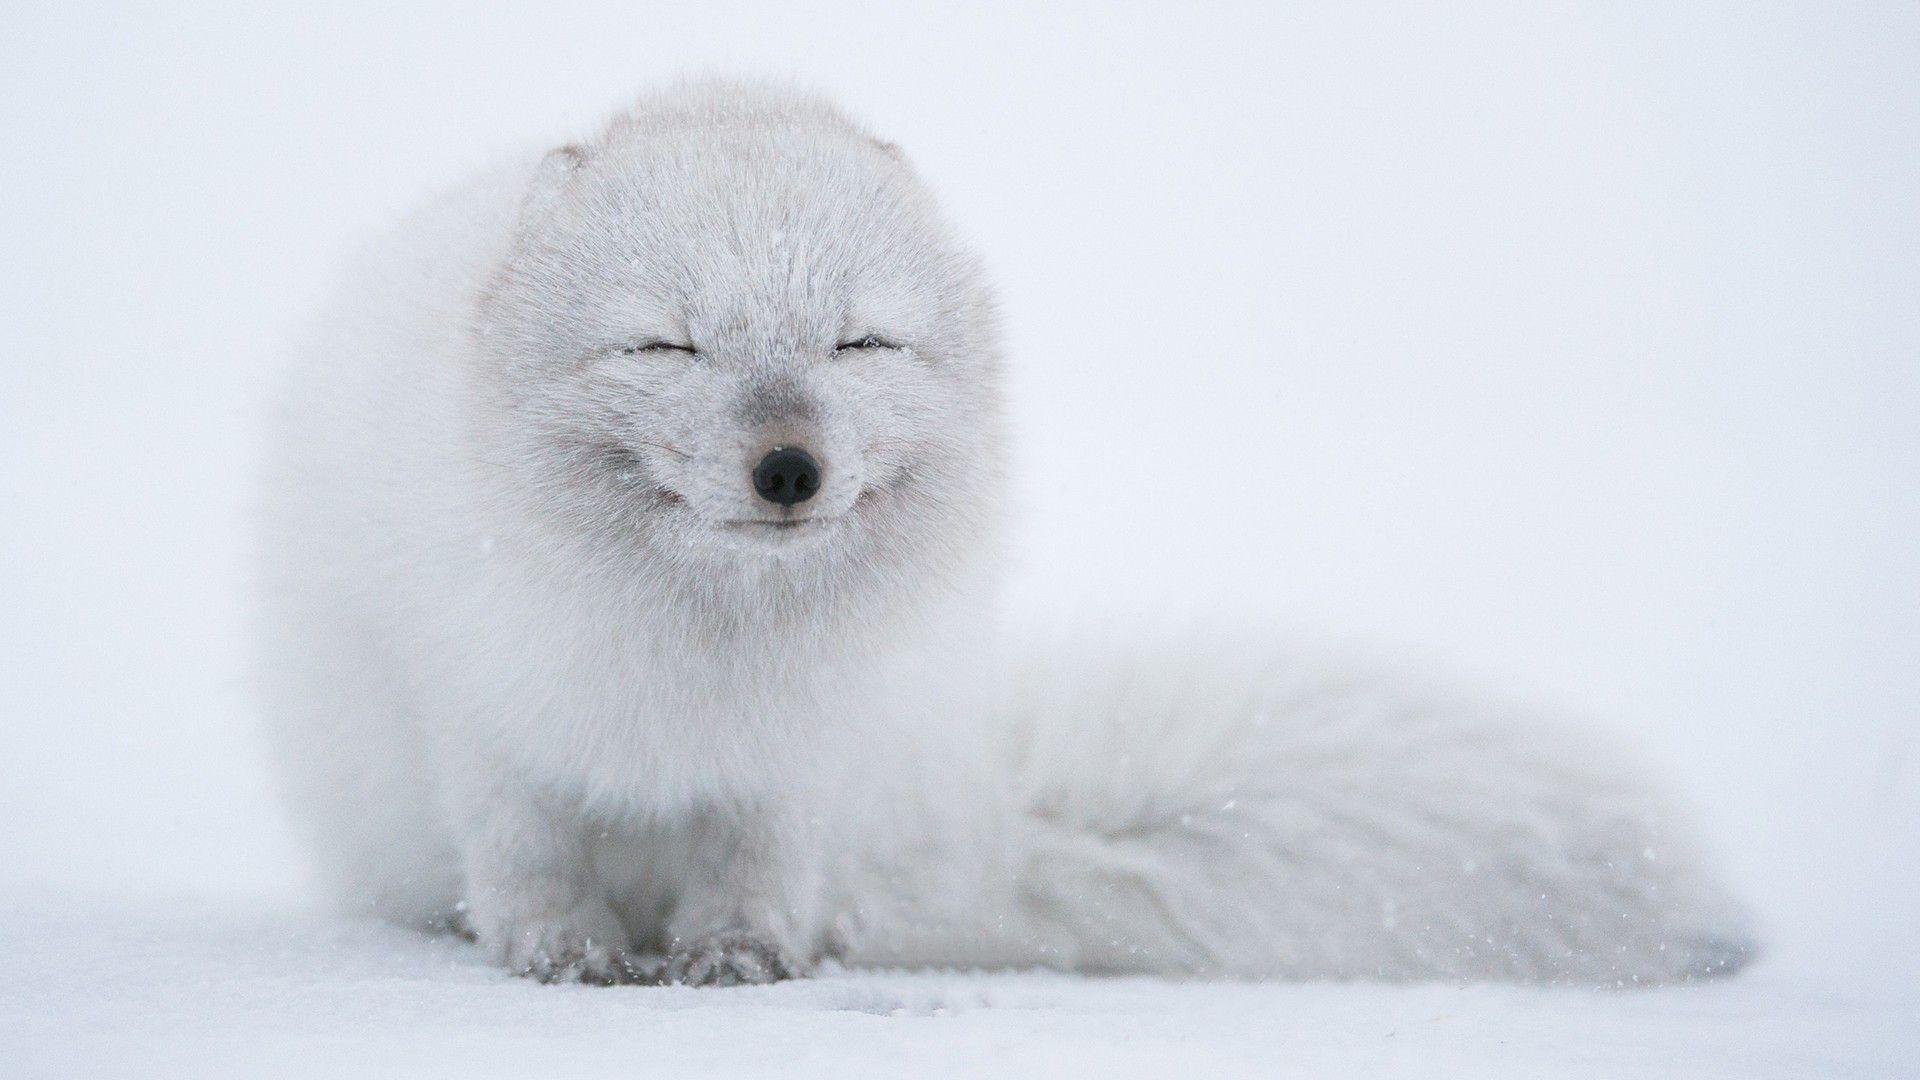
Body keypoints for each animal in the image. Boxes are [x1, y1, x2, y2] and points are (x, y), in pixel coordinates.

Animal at [255, 80, 1754, 987]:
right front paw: (561, 952)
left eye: (860, 343)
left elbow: (755, 867)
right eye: (665, 345)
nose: (789, 467)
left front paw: (739, 956)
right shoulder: (481, 706)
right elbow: (525, 853)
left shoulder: (800, 762)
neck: (708, 655)